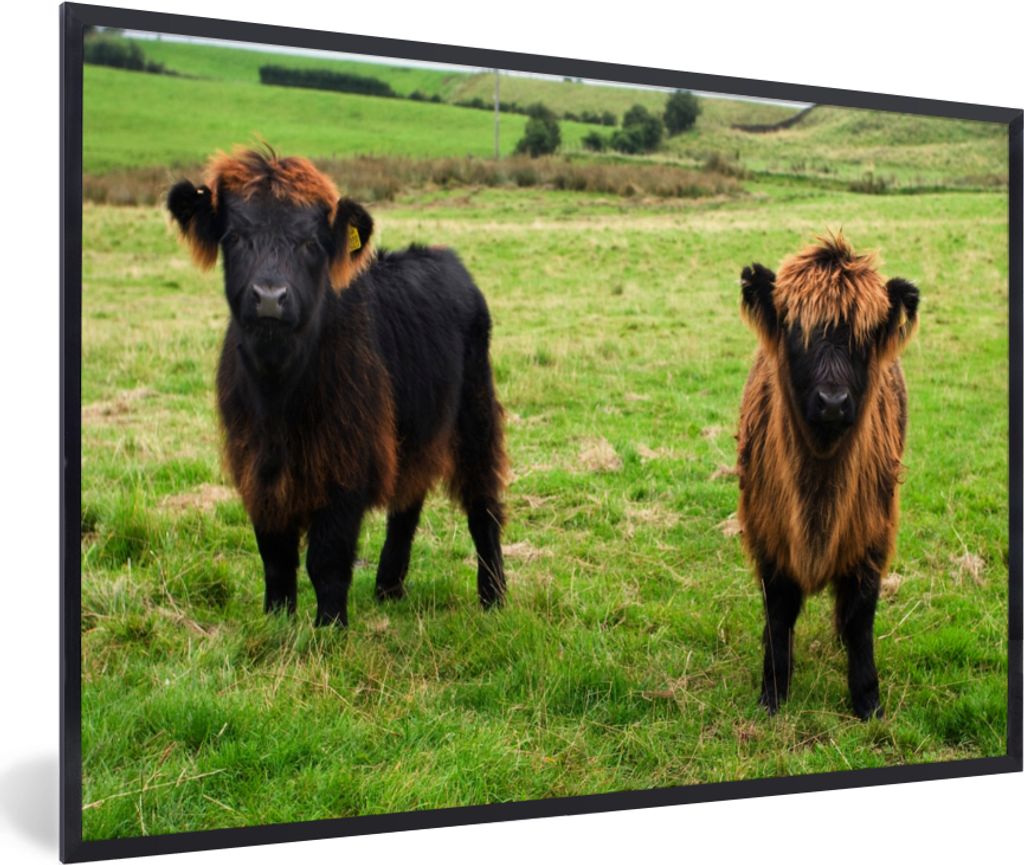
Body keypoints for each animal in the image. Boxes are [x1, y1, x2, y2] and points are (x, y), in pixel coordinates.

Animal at [167, 146, 508, 627]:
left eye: (311, 243)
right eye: (233, 237)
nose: (270, 297)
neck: (279, 390)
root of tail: (443, 258)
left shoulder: (346, 464)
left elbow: (327, 558)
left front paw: (330, 626)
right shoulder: (259, 468)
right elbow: (275, 555)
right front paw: (277, 619)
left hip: (475, 414)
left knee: (483, 505)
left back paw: (493, 596)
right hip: (412, 429)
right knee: (408, 500)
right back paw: (388, 588)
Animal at [736, 232, 919, 719]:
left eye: (864, 337)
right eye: (796, 333)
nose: (833, 402)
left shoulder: (872, 537)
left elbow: (859, 619)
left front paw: (868, 701)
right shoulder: (769, 538)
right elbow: (778, 617)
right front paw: (772, 695)